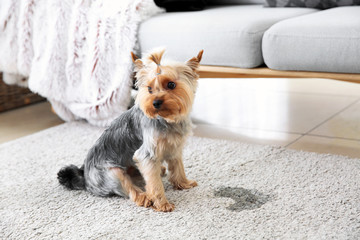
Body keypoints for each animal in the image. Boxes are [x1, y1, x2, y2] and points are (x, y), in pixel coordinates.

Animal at [56, 48, 202, 212]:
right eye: (149, 89)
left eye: (171, 84)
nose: (155, 103)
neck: (166, 119)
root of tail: (85, 177)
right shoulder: (146, 156)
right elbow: (155, 183)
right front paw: (162, 203)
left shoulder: (175, 148)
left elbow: (178, 167)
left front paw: (183, 183)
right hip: (113, 172)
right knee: (129, 188)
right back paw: (144, 197)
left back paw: (160, 171)